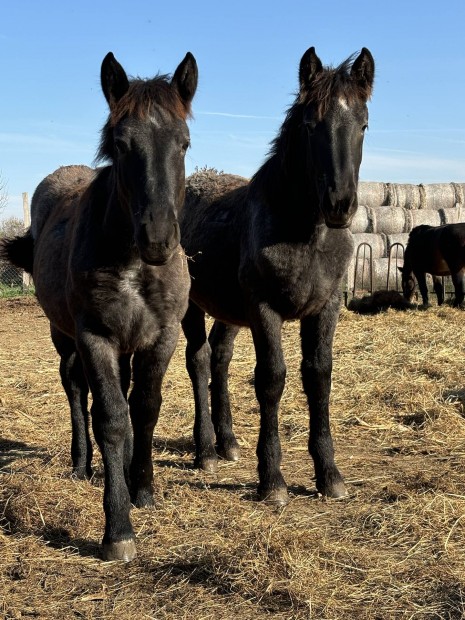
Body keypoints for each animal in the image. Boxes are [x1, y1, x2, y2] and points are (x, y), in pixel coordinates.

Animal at [0, 50, 197, 560]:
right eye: (122, 145)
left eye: (184, 144)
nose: (158, 239)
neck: (131, 261)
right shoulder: (96, 336)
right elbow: (109, 417)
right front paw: (118, 529)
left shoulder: (161, 336)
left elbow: (144, 408)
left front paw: (142, 488)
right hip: (65, 335)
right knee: (76, 390)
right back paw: (81, 464)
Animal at [180, 47, 374, 504]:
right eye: (309, 126)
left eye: (364, 124)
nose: (340, 204)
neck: (306, 233)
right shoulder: (264, 309)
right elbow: (271, 379)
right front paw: (272, 481)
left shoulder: (324, 308)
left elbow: (318, 376)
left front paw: (329, 475)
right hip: (193, 306)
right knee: (198, 359)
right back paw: (206, 450)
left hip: (230, 311)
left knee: (220, 356)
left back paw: (228, 443)